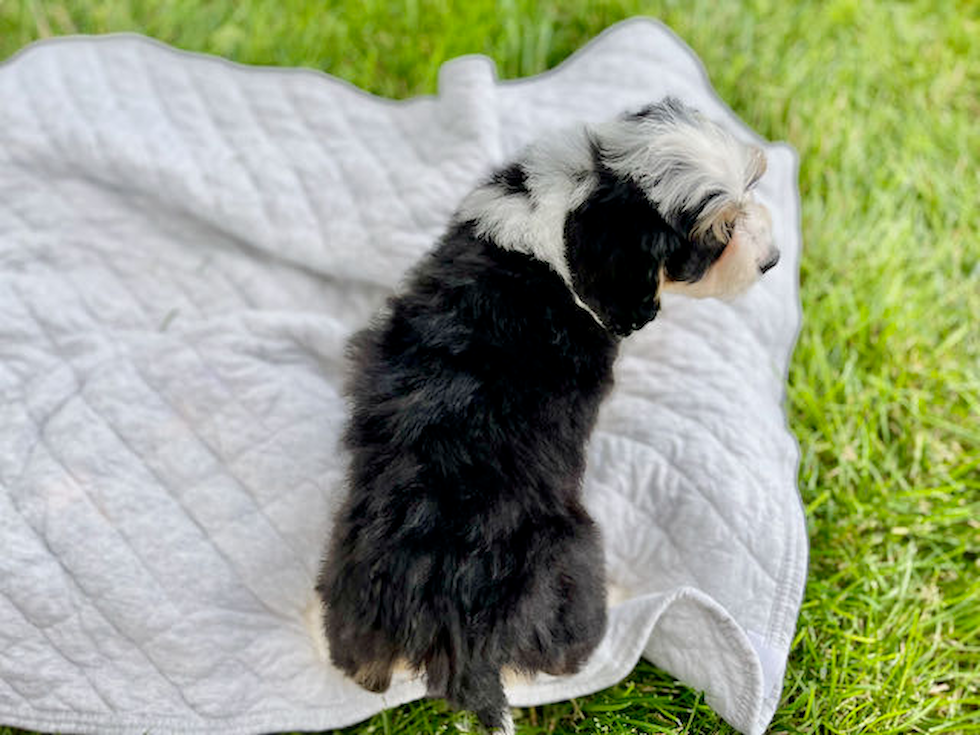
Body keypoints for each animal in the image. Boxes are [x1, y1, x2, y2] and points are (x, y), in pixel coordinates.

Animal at [318, 99, 776, 735]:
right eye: (720, 235)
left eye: (754, 185)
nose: (773, 261)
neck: (578, 197)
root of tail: (459, 638)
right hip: (573, 565)